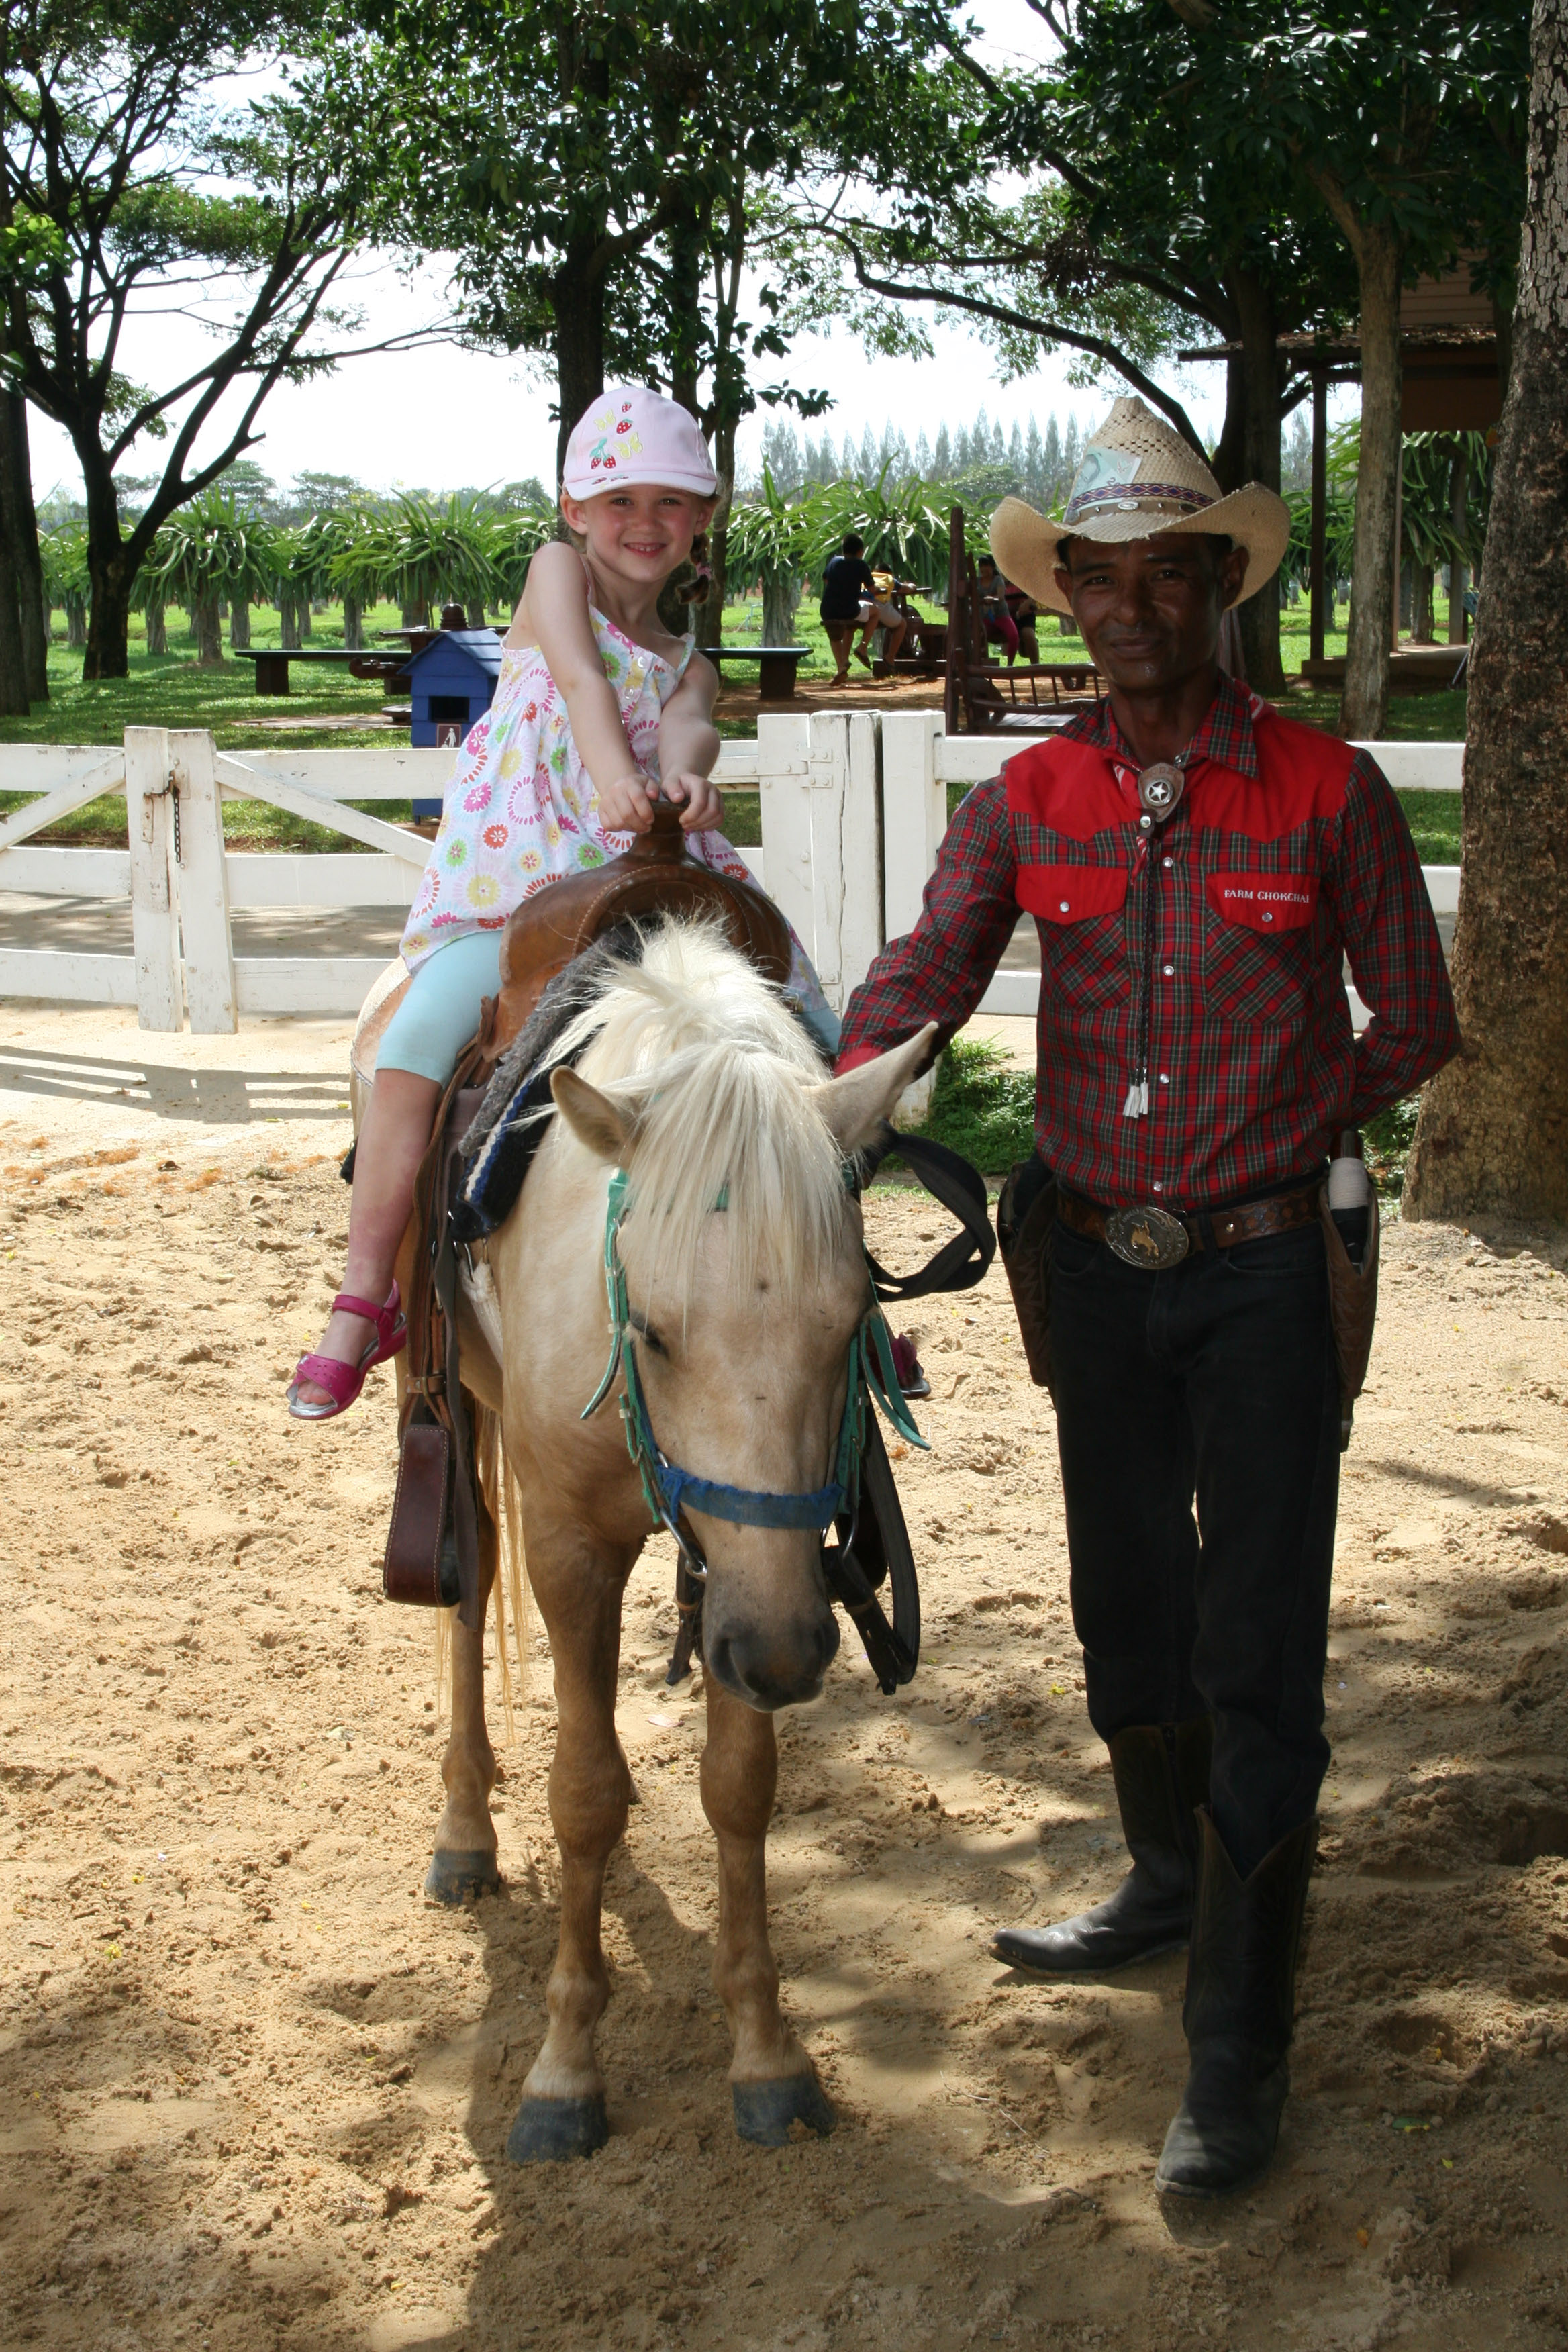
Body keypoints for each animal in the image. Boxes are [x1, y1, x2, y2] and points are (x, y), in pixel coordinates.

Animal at [351, 918, 932, 2160]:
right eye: (655, 1333)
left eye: (846, 1324)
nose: (786, 1651)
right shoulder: (570, 1547)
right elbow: (580, 1791)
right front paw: (565, 2073)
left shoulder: (754, 1580)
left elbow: (738, 1786)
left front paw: (767, 2053)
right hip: (448, 1410)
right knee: (467, 1591)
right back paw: (465, 1832)